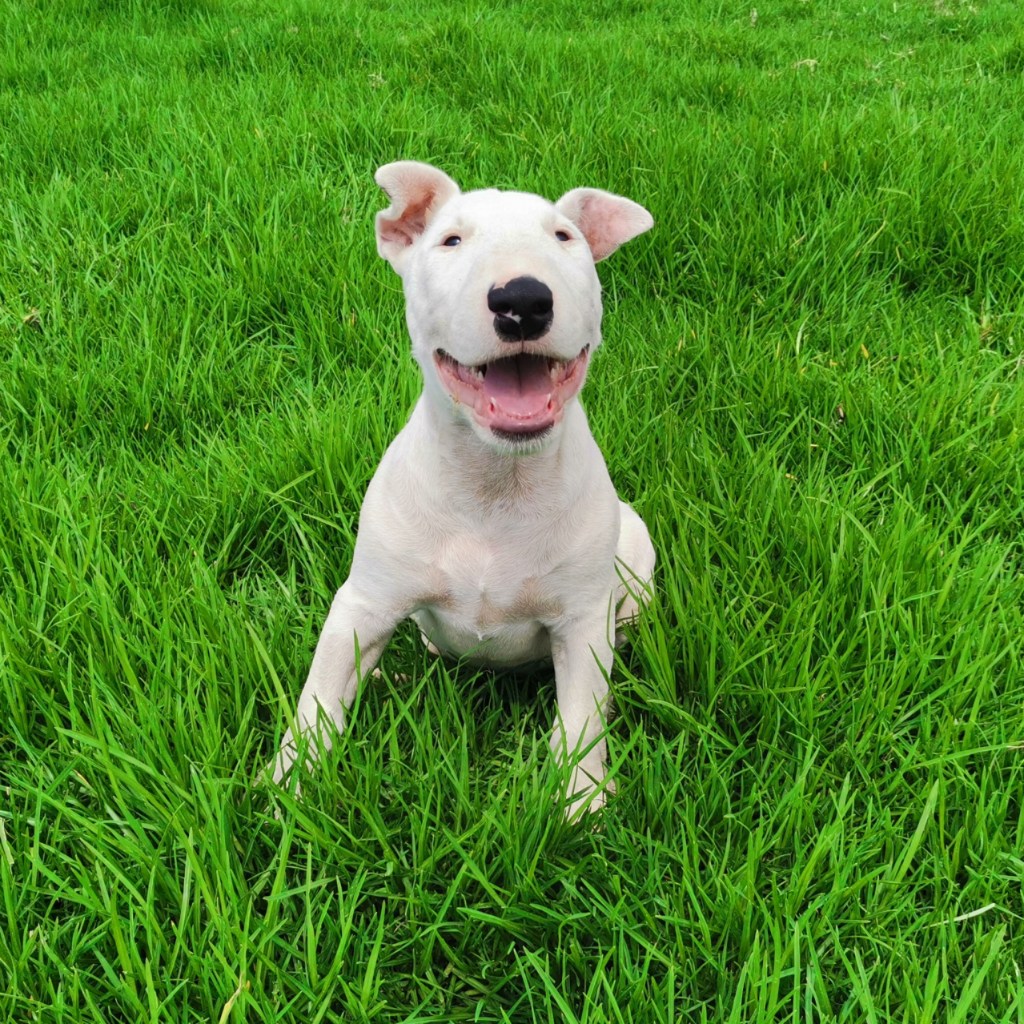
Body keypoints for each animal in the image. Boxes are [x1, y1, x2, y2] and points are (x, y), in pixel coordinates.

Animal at [272, 159, 655, 815]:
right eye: (450, 240)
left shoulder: (581, 623)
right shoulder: (362, 602)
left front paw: (578, 806)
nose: (522, 299)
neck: (495, 483)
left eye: (564, 237)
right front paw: (288, 788)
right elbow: (319, 696)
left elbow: (581, 718)